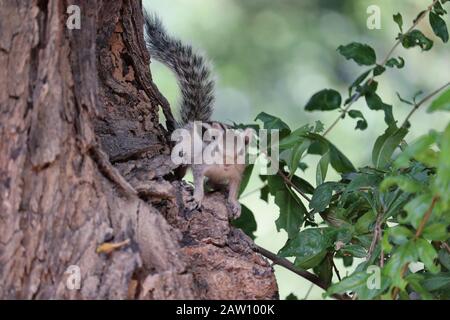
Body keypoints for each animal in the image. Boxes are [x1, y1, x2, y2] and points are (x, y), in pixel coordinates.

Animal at [146, 11, 255, 219]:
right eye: (216, 147)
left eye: (241, 150)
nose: (227, 164)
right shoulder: (201, 163)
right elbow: (197, 179)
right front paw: (197, 197)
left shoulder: (237, 172)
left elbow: (234, 188)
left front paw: (234, 203)